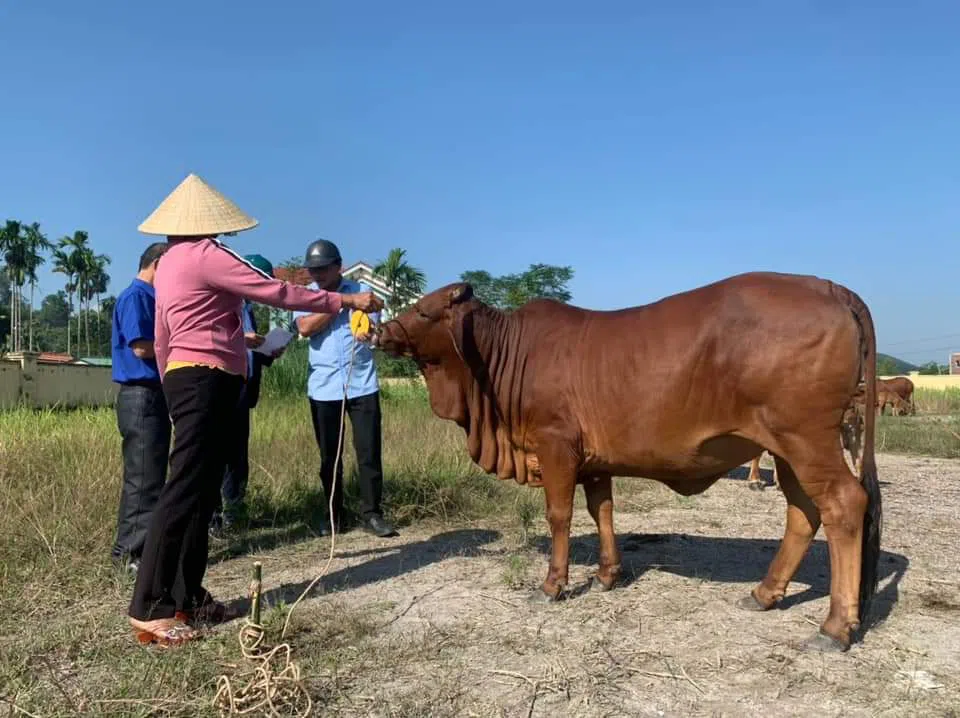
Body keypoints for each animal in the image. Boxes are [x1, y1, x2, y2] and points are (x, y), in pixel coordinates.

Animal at [372, 272, 880, 656]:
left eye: (422, 310)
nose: (380, 331)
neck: (504, 358)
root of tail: (825, 285)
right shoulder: (595, 461)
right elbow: (603, 512)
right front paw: (606, 575)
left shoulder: (556, 446)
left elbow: (560, 516)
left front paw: (553, 585)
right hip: (788, 449)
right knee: (804, 512)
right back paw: (764, 594)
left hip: (806, 440)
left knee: (844, 504)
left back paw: (835, 628)